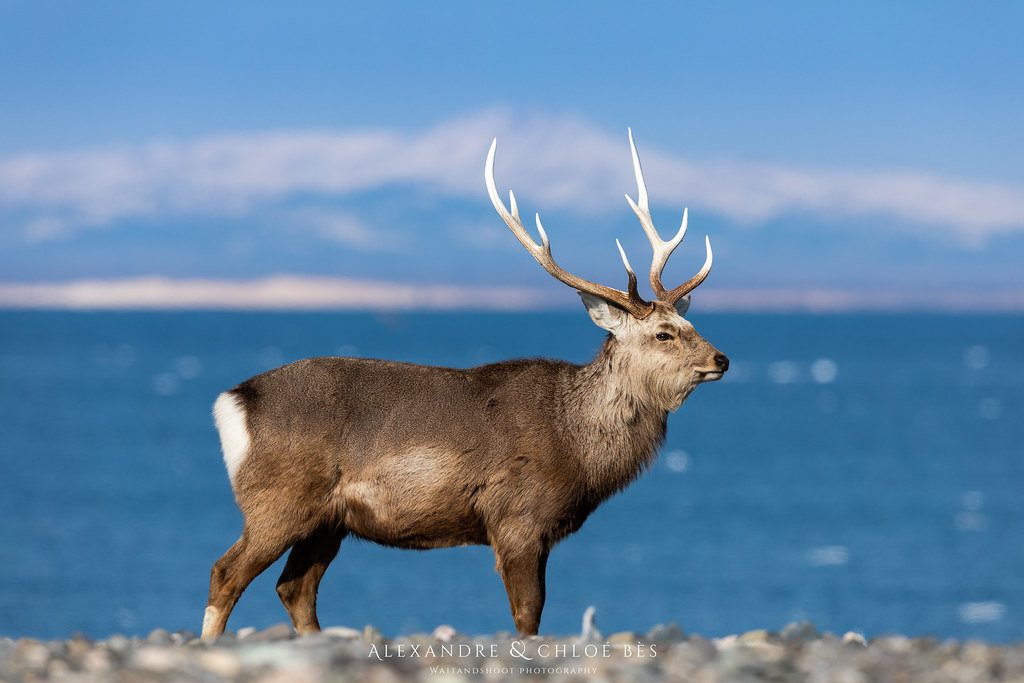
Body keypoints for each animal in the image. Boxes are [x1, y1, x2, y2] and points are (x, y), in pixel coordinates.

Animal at [201, 129, 729, 641]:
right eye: (664, 334)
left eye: (691, 323)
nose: (721, 359)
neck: (578, 445)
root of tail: (232, 402)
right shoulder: (518, 517)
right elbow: (528, 616)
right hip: (276, 500)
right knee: (226, 573)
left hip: (328, 520)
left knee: (295, 589)